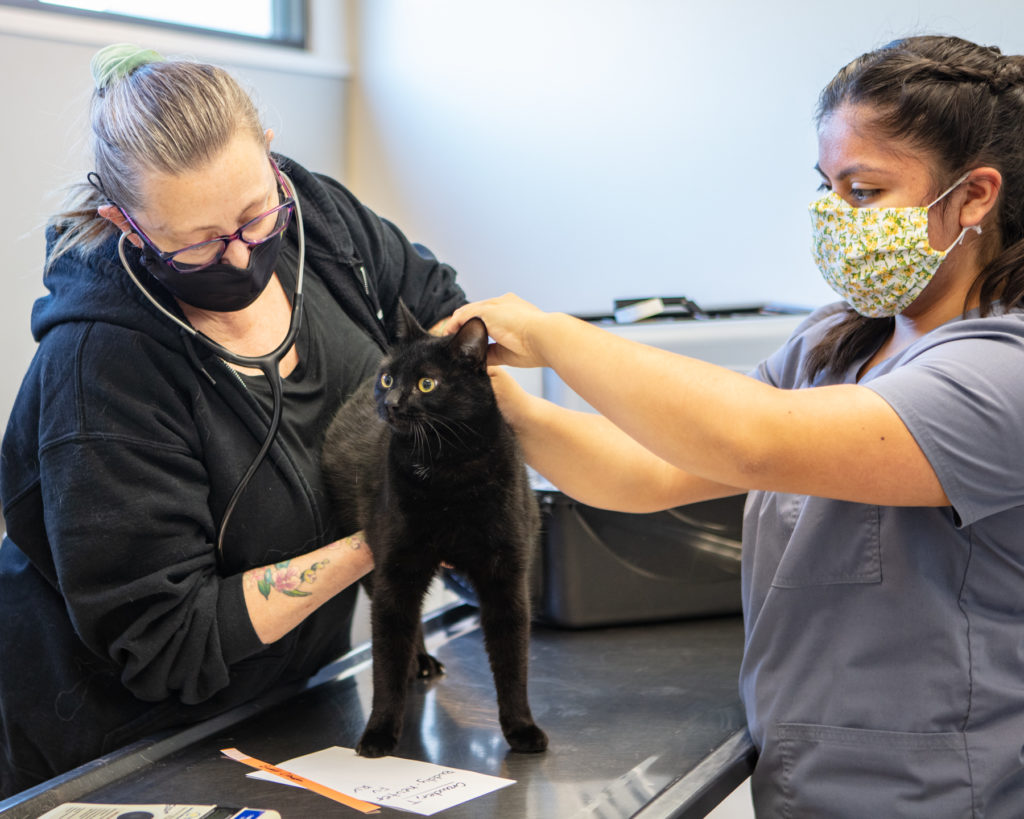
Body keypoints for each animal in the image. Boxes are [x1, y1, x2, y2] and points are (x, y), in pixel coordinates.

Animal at [321, 303, 548, 757]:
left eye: (427, 383)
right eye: (389, 378)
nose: (391, 401)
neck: (447, 467)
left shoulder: (505, 577)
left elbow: (513, 662)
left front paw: (521, 728)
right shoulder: (396, 570)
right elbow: (386, 663)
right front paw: (378, 733)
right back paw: (419, 661)